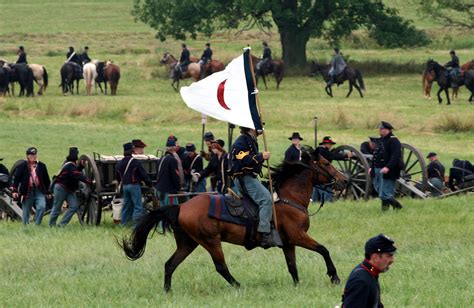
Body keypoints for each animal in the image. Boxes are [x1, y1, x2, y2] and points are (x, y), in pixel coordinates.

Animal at [120, 148, 346, 292]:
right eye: (326, 163)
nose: (344, 180)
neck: (288, 198)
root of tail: (181, 206)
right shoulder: (298, 236)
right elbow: (324, 250)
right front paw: (334, 276)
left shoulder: (289, 242)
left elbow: (292, 266)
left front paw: (298, 286)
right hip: (210, 241)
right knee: (220, 266)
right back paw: (238, 285)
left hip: (188, 243)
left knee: (170, 264)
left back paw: (168, 291)